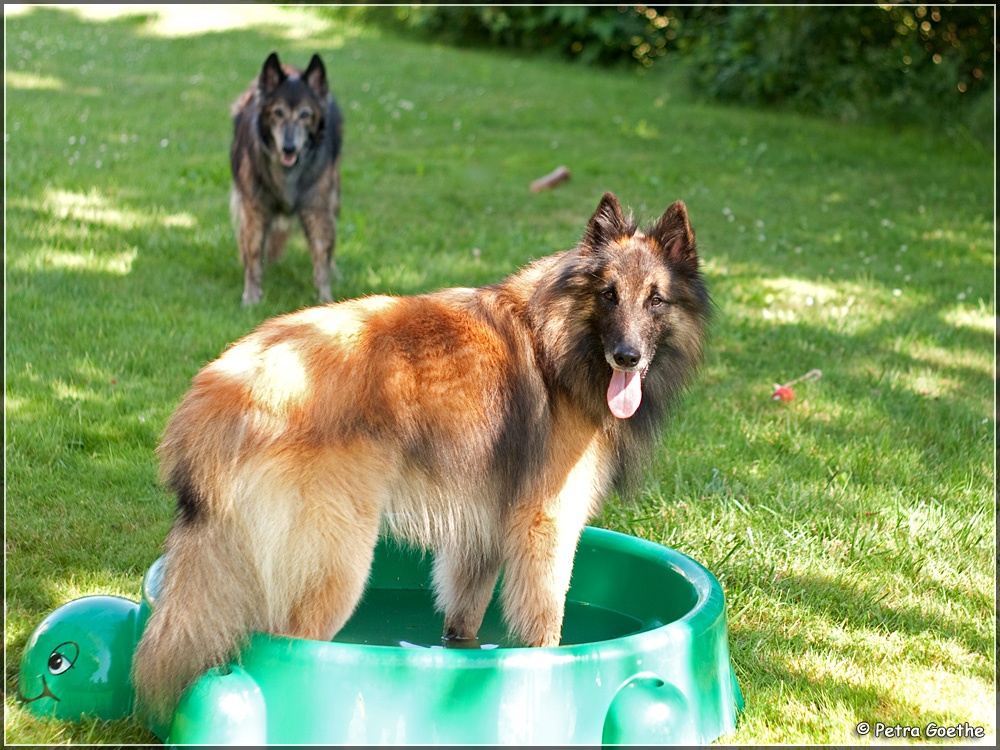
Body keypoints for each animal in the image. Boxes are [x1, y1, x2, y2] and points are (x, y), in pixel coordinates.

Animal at [133, 194, 712, 724]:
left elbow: (462, 626)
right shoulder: (545, 527)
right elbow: (547, 630)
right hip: (336, 565)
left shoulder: (478, 538)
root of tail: (222, 388)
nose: (627, 357)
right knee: (289, 649)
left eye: (656, 300)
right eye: (608, 294)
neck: (558, 344)